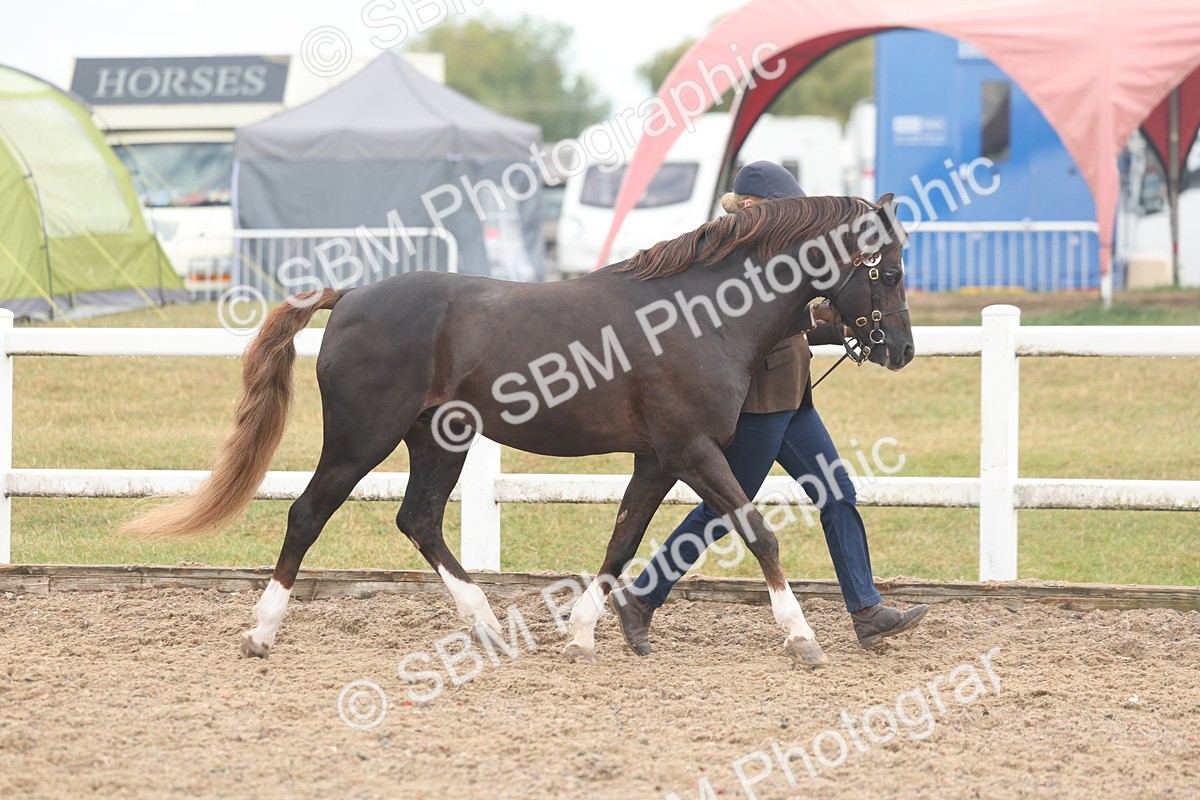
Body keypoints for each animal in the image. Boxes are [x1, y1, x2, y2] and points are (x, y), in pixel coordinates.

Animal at [123, 193, 913, 667]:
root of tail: (349, 296)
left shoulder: (657, 458)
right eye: (889, 270)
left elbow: (623, 541)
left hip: (439, 438)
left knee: (419, 520)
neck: (698, 313)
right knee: (307, 514)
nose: (901, 349)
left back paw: (485, 625)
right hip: (360, 439)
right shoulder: (689, 450)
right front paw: (803, 638)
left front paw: (586, 634)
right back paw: (261, 632)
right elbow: (759, 532)